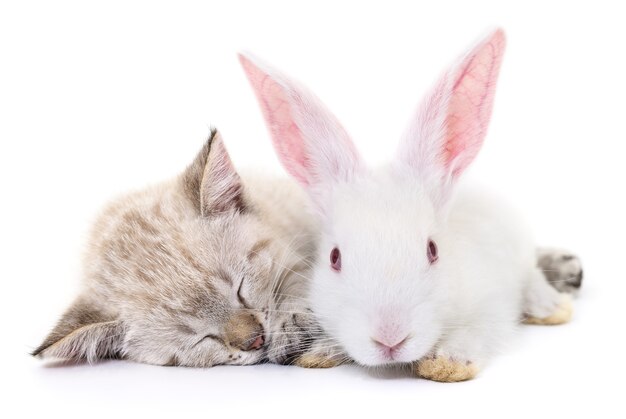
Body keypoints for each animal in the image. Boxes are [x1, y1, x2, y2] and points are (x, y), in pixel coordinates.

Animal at [239, 29, 576, 382]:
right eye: (334, 258)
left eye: (433, 250)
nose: (390, 338)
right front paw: (318, 353)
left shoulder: (492, 304)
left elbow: (475, 331)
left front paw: (447, 364)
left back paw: (552, 308)